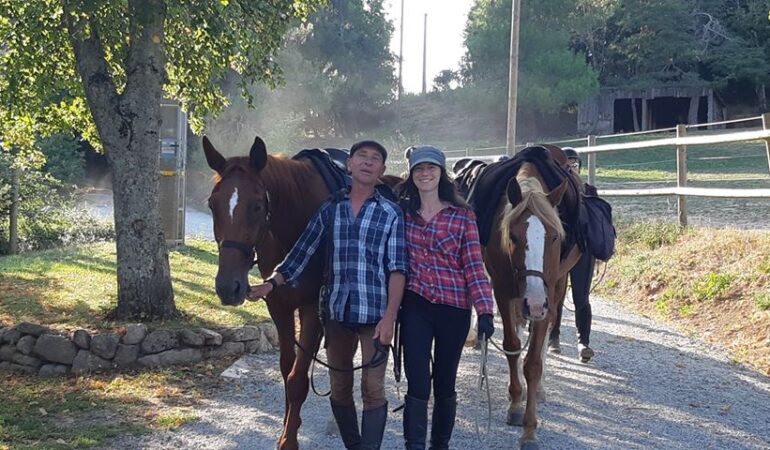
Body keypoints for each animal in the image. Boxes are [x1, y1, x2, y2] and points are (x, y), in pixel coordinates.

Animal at [476, 156, 580, 448]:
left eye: (554, 237)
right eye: (512, 236)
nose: (533, 303)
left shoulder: (548, 293)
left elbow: (533, 362)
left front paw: (530, 429)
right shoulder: (503, 290)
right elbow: (512, 346)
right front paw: (514, 404)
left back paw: (540, 388)